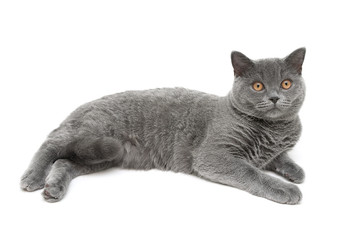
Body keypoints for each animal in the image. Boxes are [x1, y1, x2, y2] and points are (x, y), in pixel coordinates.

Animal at [20, 47, 306, 203]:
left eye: (286, 83)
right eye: (257, 86)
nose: (274, 97)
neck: (272, 129)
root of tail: (80, 106)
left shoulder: (272, 150)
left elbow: (279, 157)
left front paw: (295, 171)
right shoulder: (213, 155)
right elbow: (250, 172)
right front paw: (285, 188)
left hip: (103, 154)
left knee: (64, 161)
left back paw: (53, 189)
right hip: (91, 130)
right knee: (50, 145)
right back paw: (32, 178)